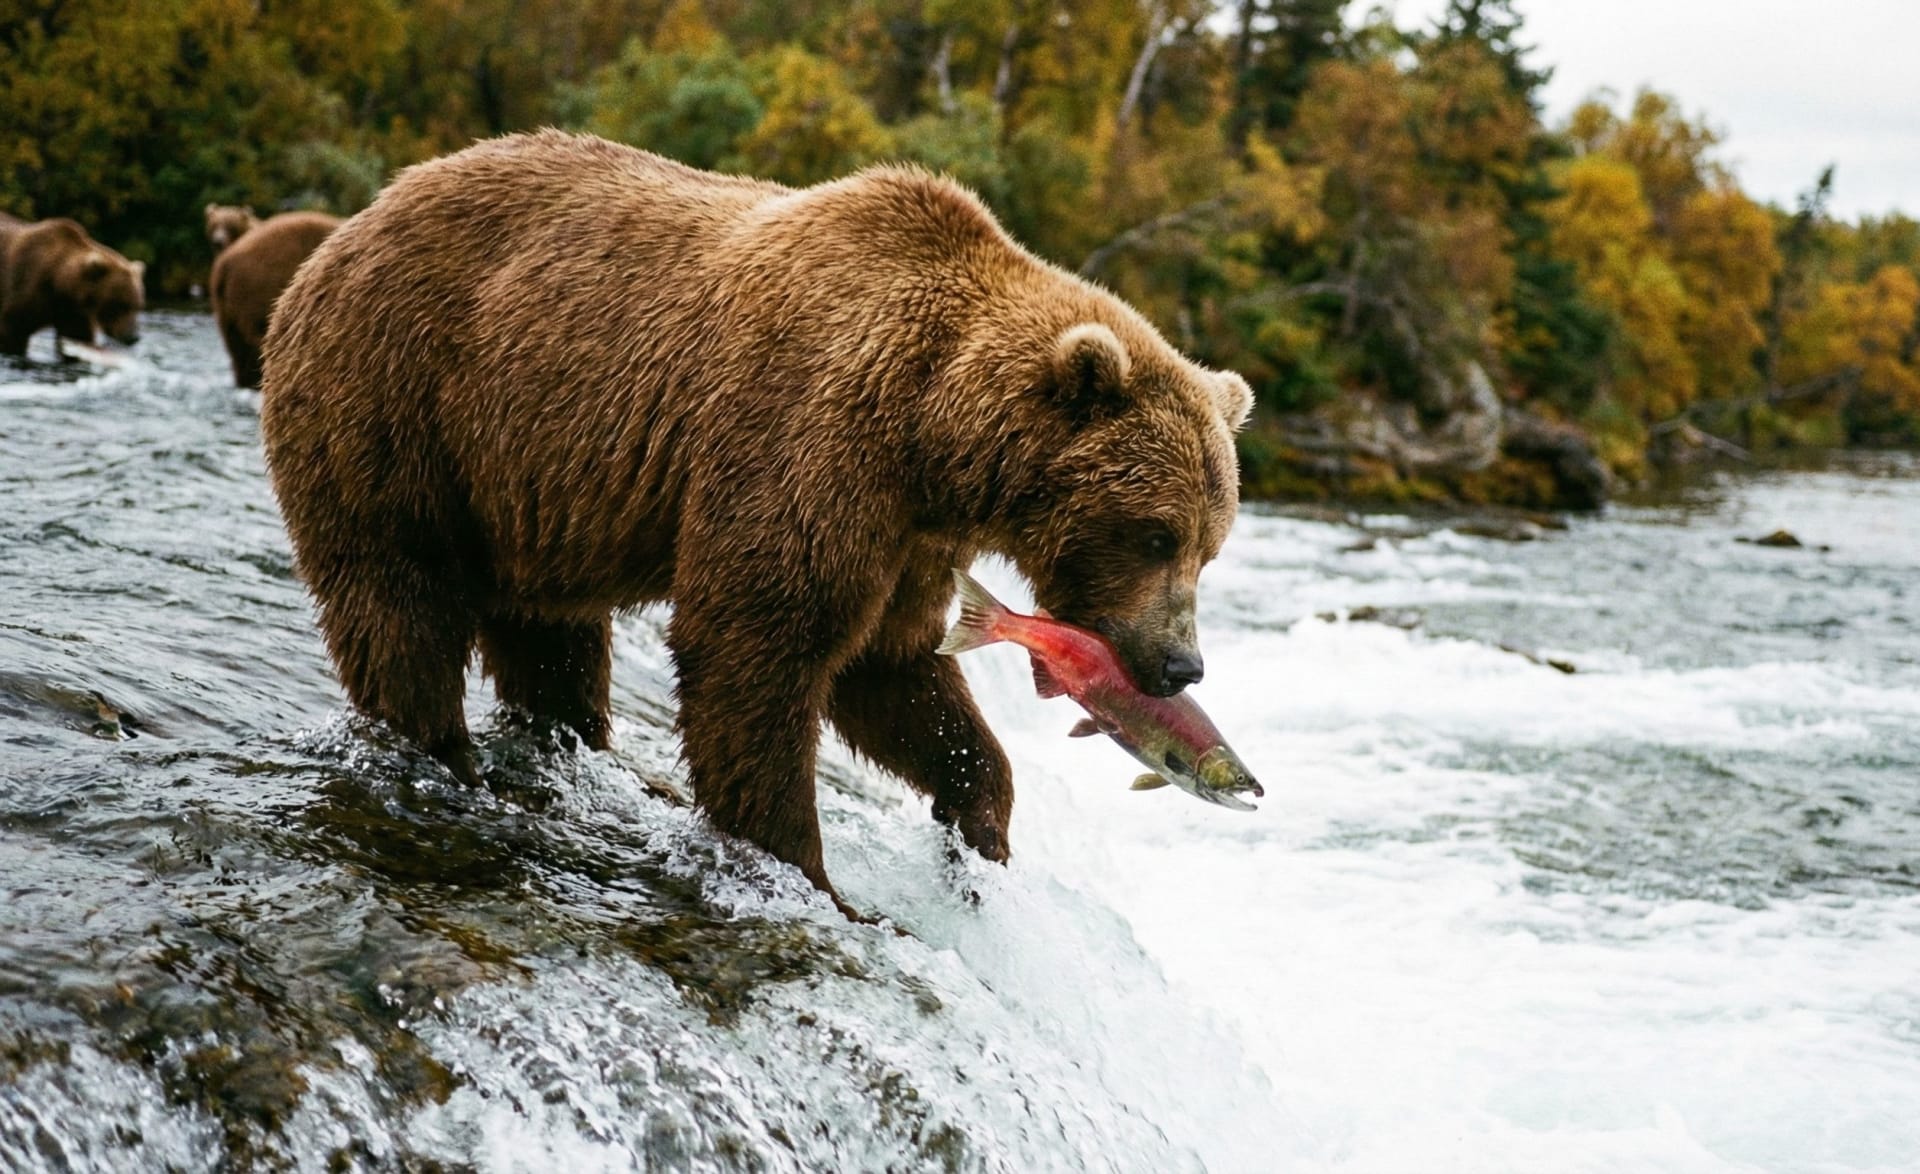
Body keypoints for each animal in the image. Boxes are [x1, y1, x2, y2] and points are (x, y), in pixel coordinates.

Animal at [0, 213, 144, 358]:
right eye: (120, 304)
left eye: (137, 306)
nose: (133, 337)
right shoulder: (27, 284)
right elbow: (14, 329)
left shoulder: (73, 312)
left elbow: (77, 336)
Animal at [209, 210, 341, 387]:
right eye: (214, 224)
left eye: (230, 224)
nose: (218, 241)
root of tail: (225, 264)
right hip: (258, 290)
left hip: (227, 307)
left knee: (237, 346)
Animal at [260, 130, 1251, 911]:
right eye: (1155, 533)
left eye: (1209, 546)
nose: (1180, 665)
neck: (934, 435)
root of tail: (346, 228)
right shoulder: (811, 437)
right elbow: (760, 642)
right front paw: (802, 871)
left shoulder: (907, 537)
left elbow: (890, 668)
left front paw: (978, 826)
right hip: (397, 400)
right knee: (399, 601)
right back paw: (442, 755)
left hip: (524, 490)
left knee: (548, 633)